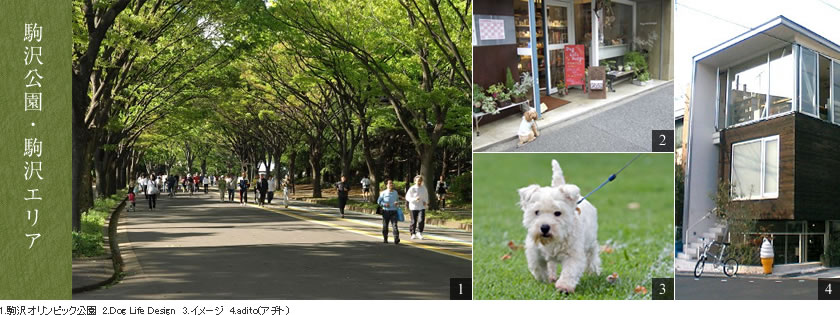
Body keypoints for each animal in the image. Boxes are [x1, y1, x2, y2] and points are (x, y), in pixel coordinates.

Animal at [516, 160, 600, 294]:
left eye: (557, 213)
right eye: (536, 212)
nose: (544, 227)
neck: (553, 240)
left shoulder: (573, 254)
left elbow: (569, 271)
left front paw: (564, 286)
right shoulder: (534, 252)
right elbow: (538, 267)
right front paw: (545, 279)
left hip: (591, 241)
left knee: (592, 255)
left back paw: (594, 271)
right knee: (551, 264)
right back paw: (551, 275)